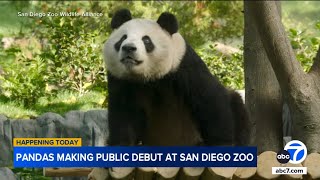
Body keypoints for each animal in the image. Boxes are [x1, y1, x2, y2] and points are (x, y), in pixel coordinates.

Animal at [89, 8, 249, 180]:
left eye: (146, 40)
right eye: (122, 38)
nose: (129, 48)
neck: (148, 77)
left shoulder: (183, 65)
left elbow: (209, 102)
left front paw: (221, 148)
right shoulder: (121, 79)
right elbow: (123, 113)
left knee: (235, 103)